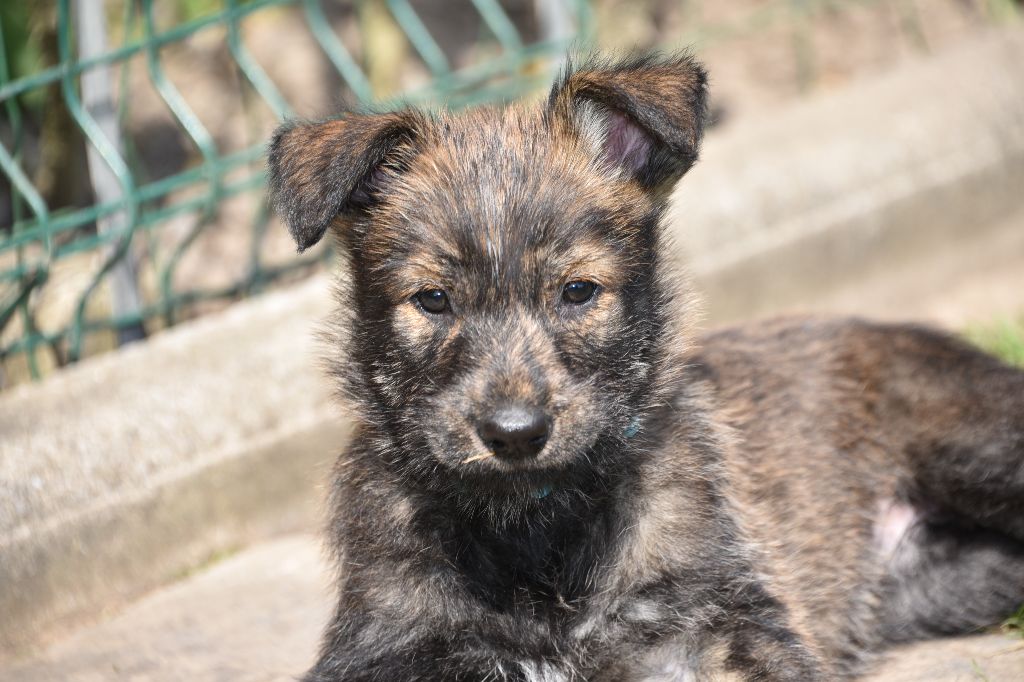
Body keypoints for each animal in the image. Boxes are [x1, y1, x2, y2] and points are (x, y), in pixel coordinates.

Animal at [266, 54, 1024, 679]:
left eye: (578, 291)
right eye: (432, 299)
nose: (515, 433)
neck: (537, 536)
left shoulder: (720, 621)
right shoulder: (389, 643)